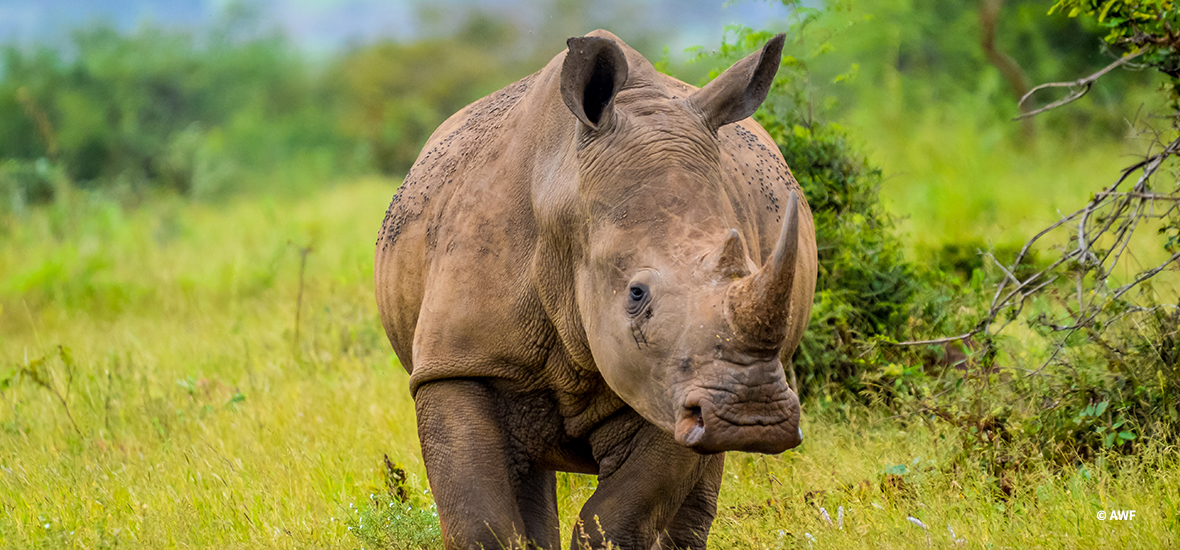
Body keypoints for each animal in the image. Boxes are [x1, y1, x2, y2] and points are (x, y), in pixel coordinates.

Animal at [374, 30, 818, 549]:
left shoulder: (671, 382)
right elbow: (481, 522)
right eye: (636, 295)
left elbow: (616, 517)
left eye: (749, 267)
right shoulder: (458, 362)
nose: (753, 416)